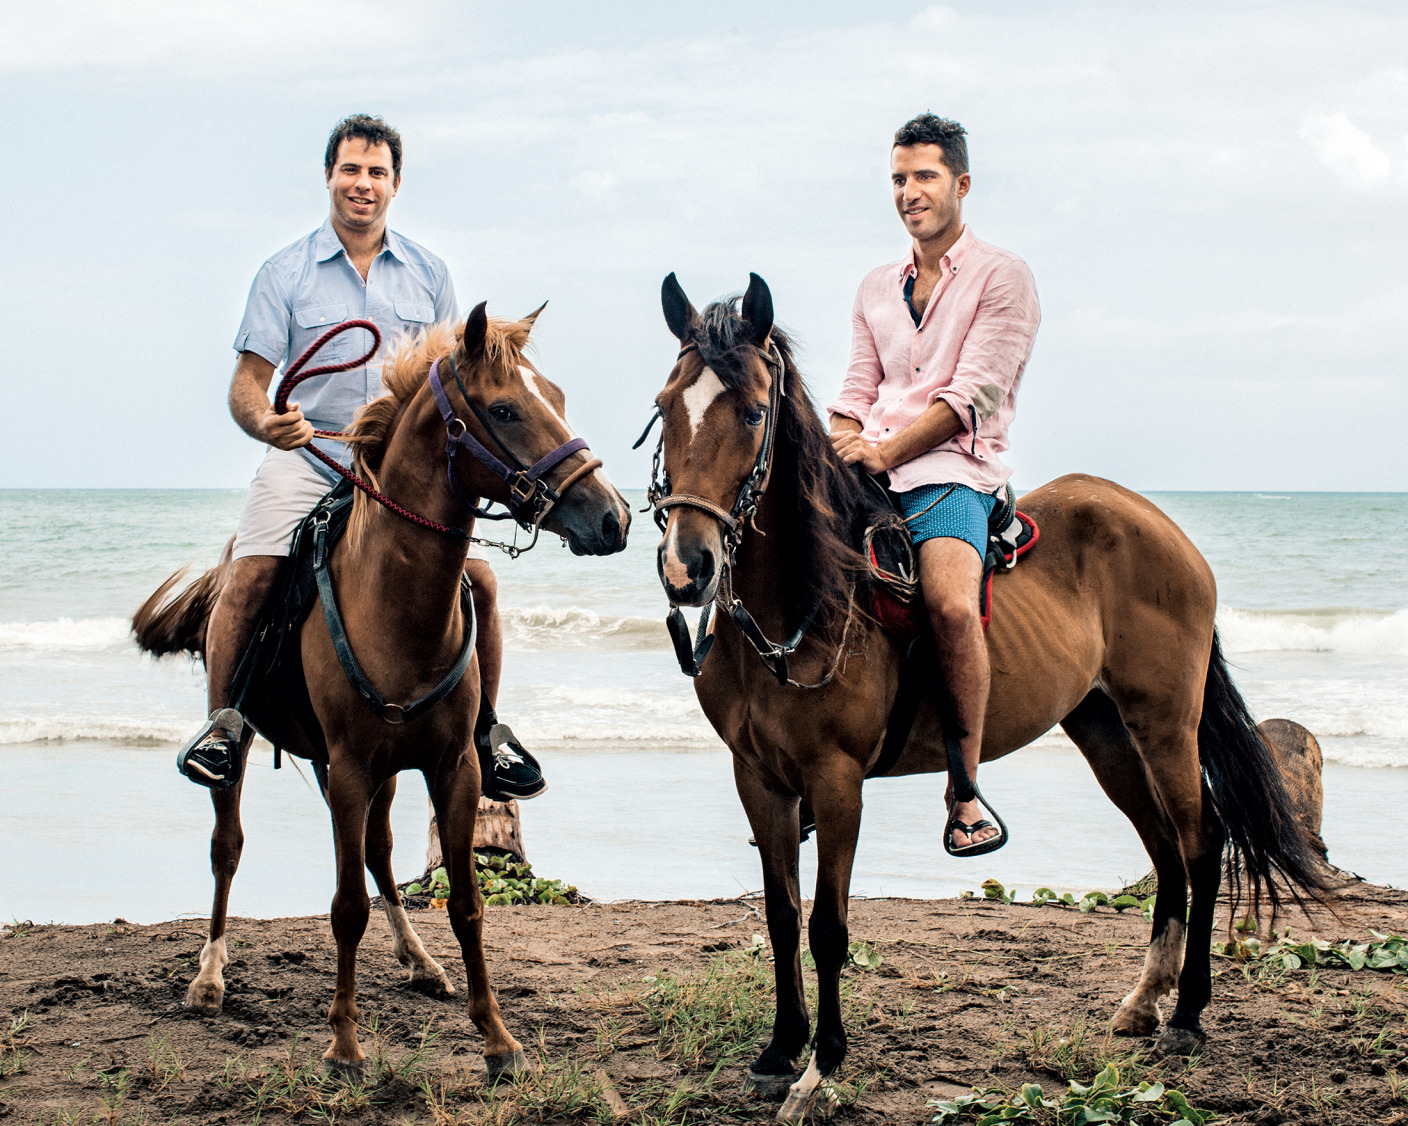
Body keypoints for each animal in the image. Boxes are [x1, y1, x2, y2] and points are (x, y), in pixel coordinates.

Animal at [134, 304, 630, 1075]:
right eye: (504, 409)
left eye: (557, 397)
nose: (613, 517)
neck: (398, 606)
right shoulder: (350, 769)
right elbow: (344, 909)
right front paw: (343, 1044)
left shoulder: (451, 769)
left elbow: (465, 903)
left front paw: (497, 1038)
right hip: (260, 755)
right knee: (228, 846)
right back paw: (209, 975)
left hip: (382, 770)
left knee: (380, 853)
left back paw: (418, 960)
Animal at [644, 274, 1329, 1126]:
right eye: (666, 405)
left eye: (750, 412)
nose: (689, 566)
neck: (807, 598)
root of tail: (1160, 524)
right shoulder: (759, 778)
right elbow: (780, 915)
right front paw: (778, 1053)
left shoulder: (836, 783)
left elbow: (829, 926)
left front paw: (819, 1069)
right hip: (1104, 731)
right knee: (1165, 848)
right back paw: (1144, 1003)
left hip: (1166, 724)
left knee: (1202, 844)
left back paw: (1188, 1014)